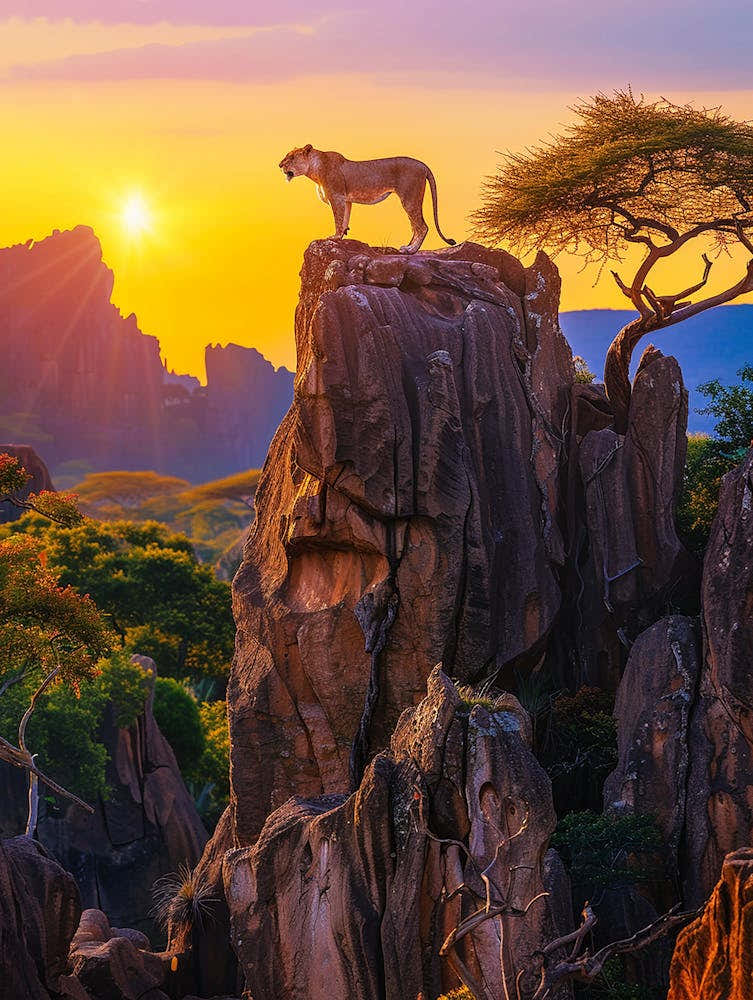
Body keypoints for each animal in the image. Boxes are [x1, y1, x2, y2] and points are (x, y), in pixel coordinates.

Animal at [278, 145, 457, 254]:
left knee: (422, 227)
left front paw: (334, 238)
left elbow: (338, 219)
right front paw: (341, 236)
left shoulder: (336, 197)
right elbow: (345, 219)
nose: (279, 165)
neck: (315, 170)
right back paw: (408, 247)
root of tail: (423, 165)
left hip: (409, 197)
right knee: (415, 227)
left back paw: (410, 250)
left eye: (291, 158)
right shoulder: (346, 200)